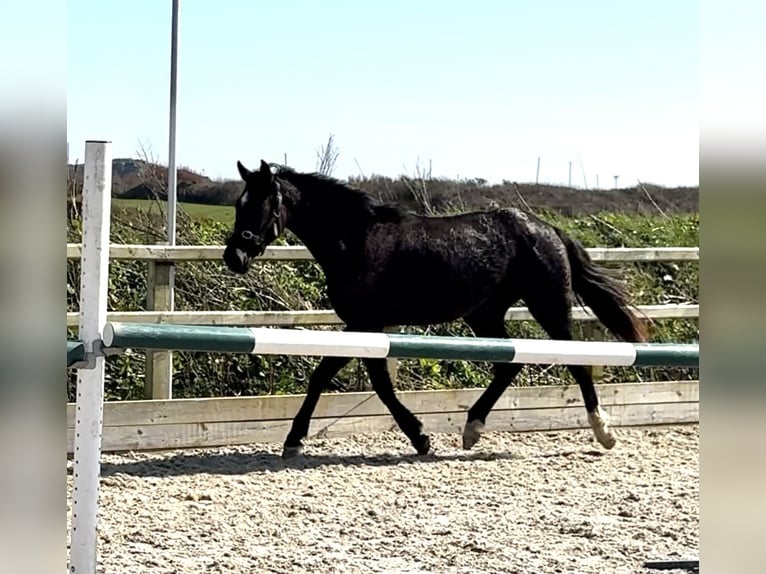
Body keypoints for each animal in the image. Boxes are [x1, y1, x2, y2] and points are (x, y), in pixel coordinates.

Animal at [223, 160, 647, 459]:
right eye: (237, 204)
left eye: (260, 205)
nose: (234, 257)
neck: (355, 240)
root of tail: (548, 230)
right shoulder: (370, 327)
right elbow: (369, 382)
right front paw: (420, 437)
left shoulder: (365, 323)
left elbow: (333, 378)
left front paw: (295, 440)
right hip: (484, 315)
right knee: (508, 365)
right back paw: (472, 429)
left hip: (550, 307)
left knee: (577, 362)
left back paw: (603, 432)